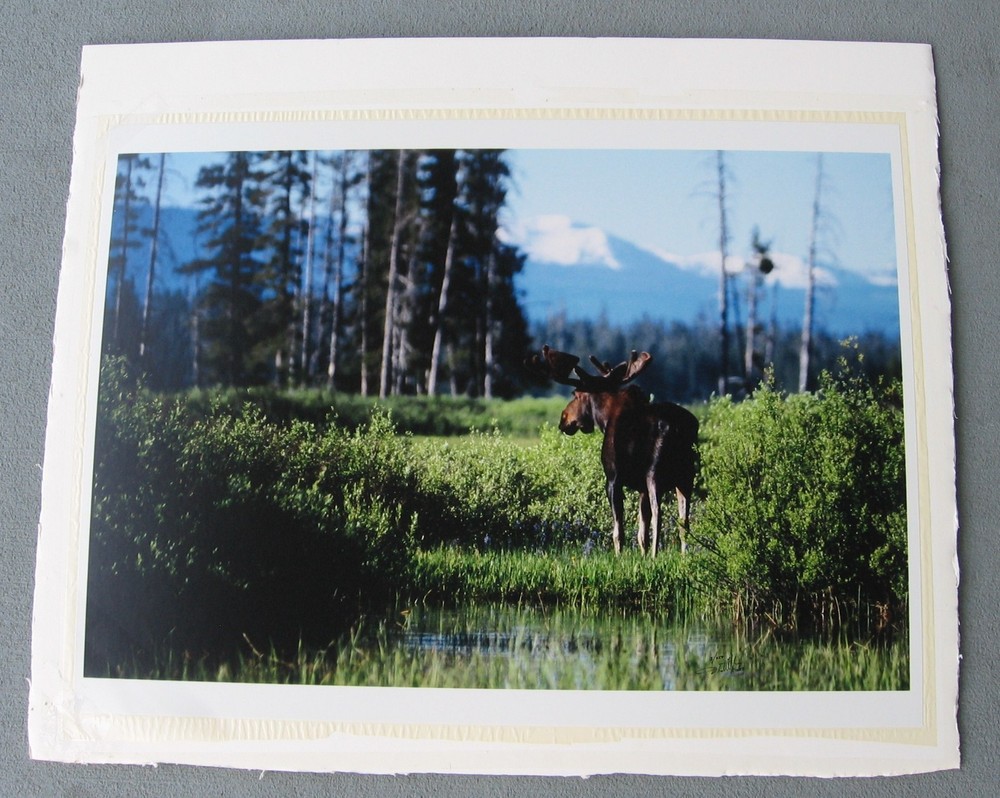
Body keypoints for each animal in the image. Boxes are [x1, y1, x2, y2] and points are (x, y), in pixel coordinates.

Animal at [527, 345, 699, 556]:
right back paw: (684, 556)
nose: (564, 419)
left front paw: (620, 556)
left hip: (655, 473)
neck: (605, 419)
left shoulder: (612, 479)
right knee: (684, 521)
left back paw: (655, 556)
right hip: (686, 475)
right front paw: (642, 556)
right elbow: (641, 533)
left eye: (575, 394)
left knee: (659, 515)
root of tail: (675, 427)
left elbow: (619, 531)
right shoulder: (641, 488)